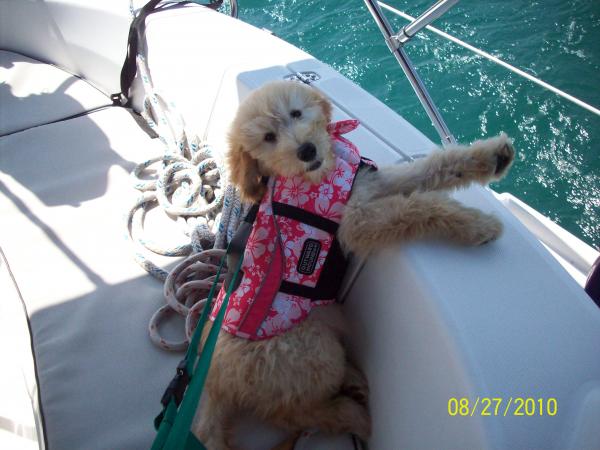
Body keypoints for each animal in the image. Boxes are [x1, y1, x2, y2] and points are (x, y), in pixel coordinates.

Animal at [193, 79, 516, 448]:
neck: (318, 174)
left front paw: (493, 157)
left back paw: (354, 384)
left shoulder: (368, 184)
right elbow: (417, 208)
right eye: (268, 137)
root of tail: (215, 380)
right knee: (296, 413)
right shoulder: (356, 222)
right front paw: (479, 225)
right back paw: (354, 415)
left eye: (296, 113)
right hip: (309, 352)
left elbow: (430, 168)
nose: (307, 150)